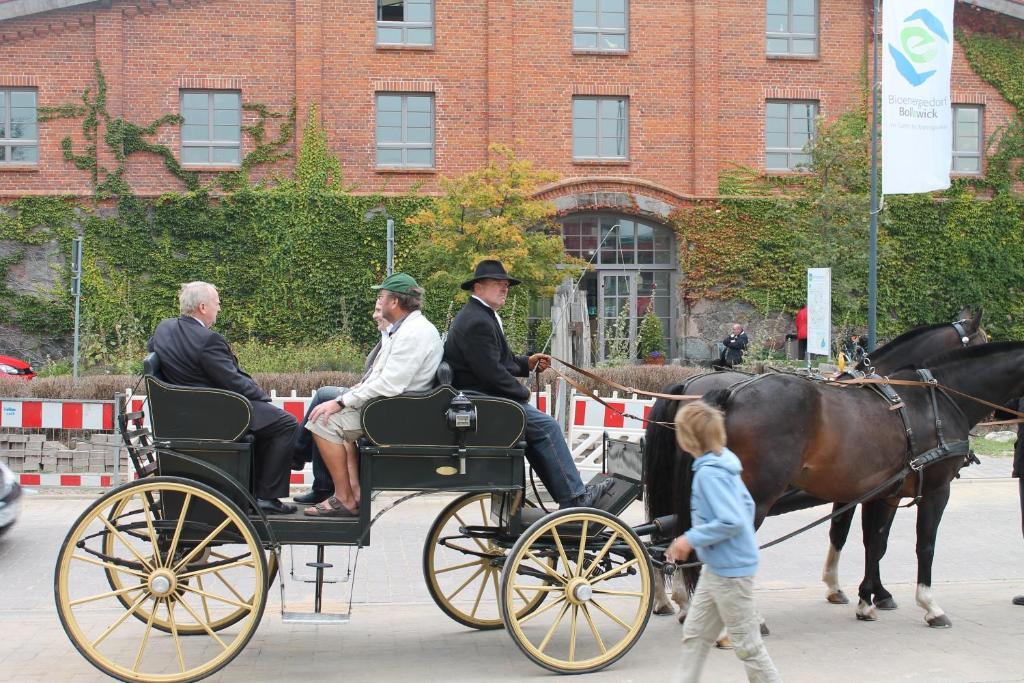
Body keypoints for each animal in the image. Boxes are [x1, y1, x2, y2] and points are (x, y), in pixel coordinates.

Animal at [643, 315, 987, 618]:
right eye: (982, 340)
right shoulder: (876, 490)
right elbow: (865, 538)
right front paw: (872, 593)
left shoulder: (860, 490)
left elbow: (853, 536)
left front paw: (860, 591)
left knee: (666, 534)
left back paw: (671, 600)